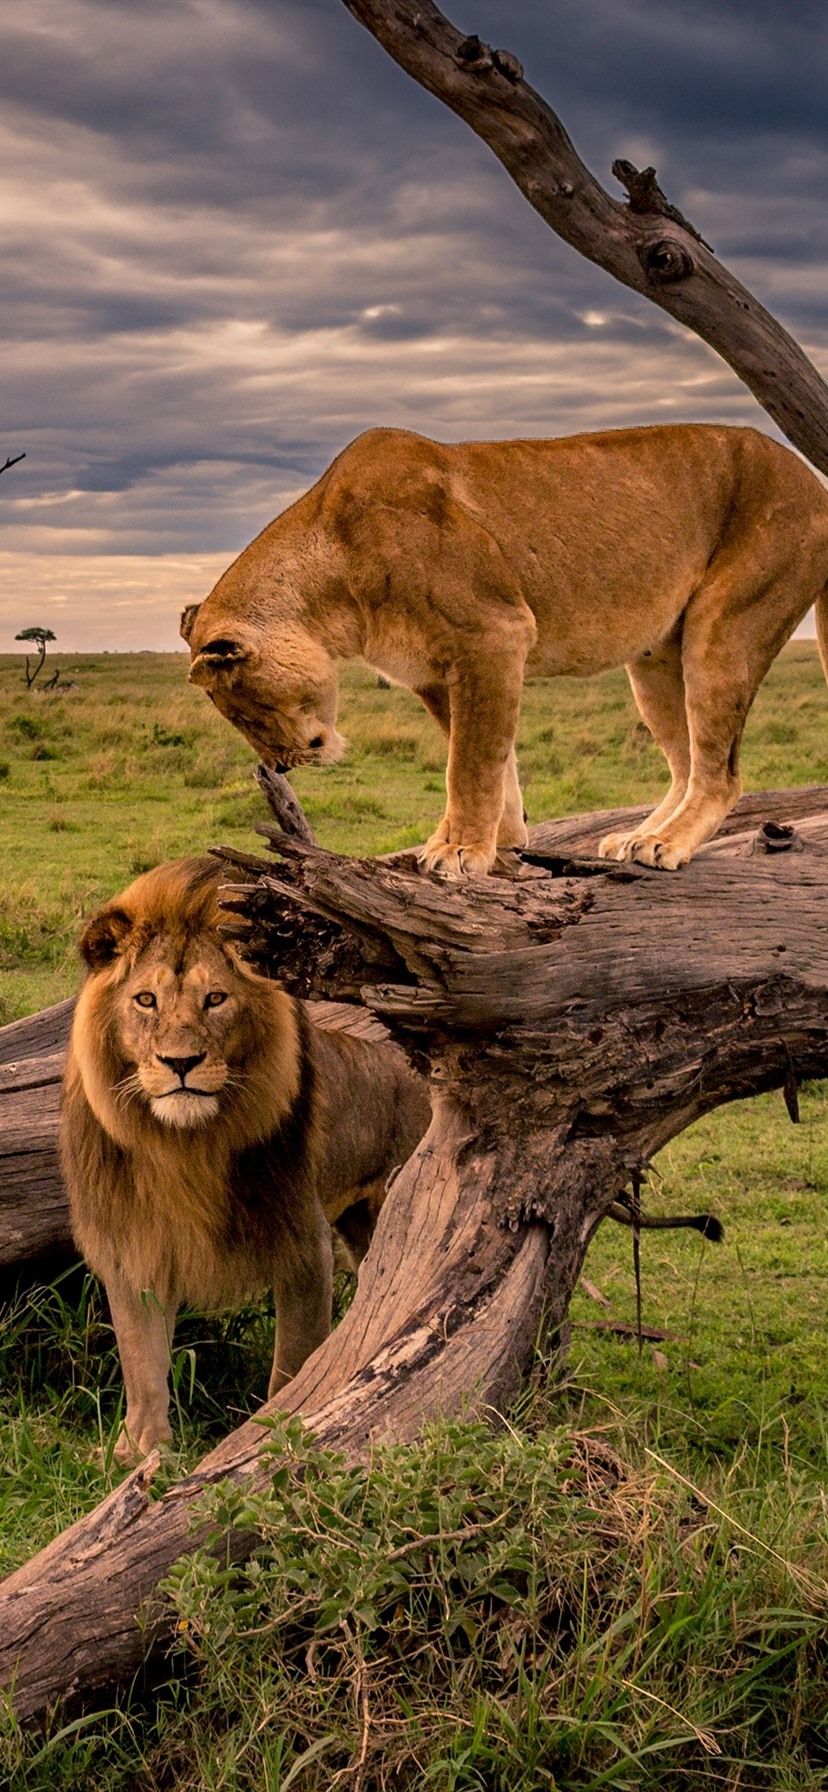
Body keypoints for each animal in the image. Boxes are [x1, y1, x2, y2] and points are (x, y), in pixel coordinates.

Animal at [60, 855, 431, 1464]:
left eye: (215, 999)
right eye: (145, 1000)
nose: (180, 1062)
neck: (184, 1146)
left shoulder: (301, 1246)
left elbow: (291, 1364)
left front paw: (272, 1433)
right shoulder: (135, 1244)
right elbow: (142, 1363)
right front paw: (139, 1454)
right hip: (359, 1221)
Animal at [181, 422, 828, 876]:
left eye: (248, 711)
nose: (283, 765)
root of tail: (814, 481)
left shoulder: (493, 634)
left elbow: (469, 762)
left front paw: (460, 850)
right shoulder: (436, 674)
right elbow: (485, 758)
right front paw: (502, 841)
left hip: (725, 626)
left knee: (721, 774)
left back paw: (663, 842)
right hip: (655, 658)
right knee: (688, 762)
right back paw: (636, 835)